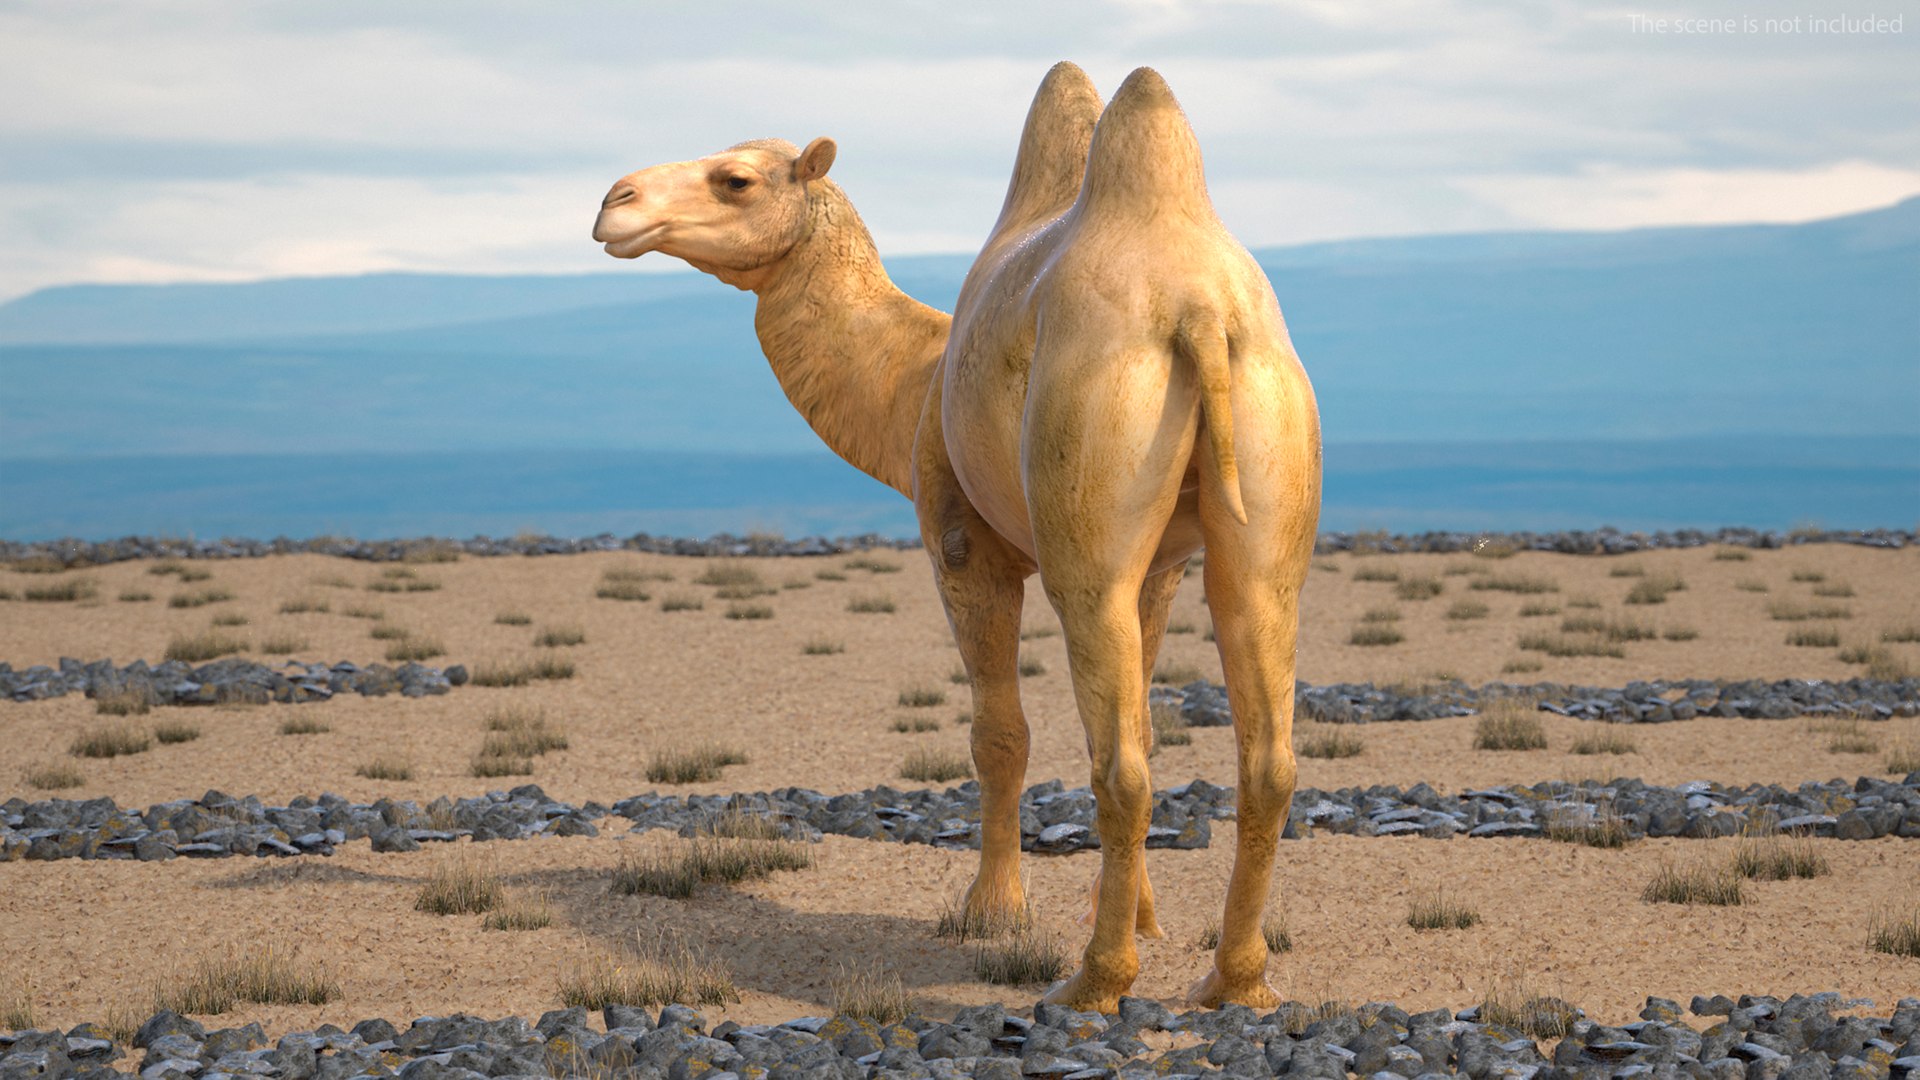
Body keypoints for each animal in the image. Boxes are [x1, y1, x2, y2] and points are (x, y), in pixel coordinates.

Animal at [591, 62, 1321, 1012]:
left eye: (737, 179)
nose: (614, 201)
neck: (917, 375)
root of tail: (1197, 309)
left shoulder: (960, 541)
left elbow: (999, 737)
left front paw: (993, 913)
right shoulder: (1160, 569)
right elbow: (1149, 723)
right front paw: (1143, 916)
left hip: (1086, 509)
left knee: (1116, 762)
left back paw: (1094, 983)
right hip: (1268, 486)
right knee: (1263, 751)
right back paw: (1235, 982)